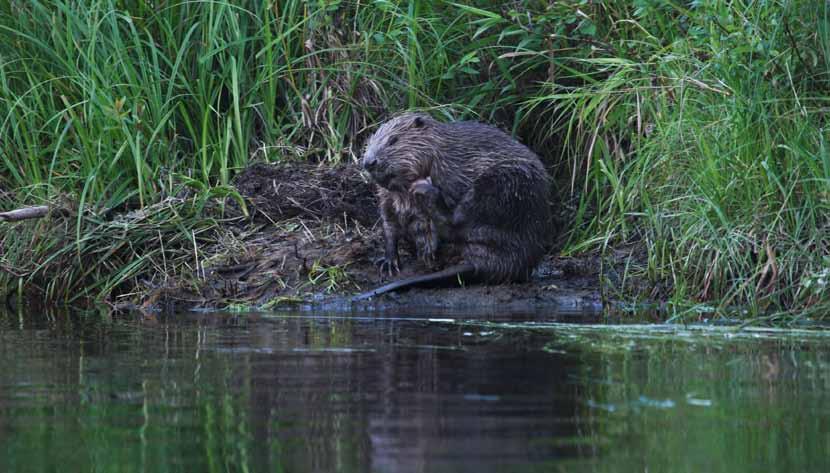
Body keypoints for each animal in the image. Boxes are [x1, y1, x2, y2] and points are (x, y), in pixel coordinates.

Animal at [354, 112, 548, 300]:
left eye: (393, 140)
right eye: (369, 141)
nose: (369, 162)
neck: (441, 155)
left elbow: (427, 223)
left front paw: (427, 251)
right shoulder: (386, 198)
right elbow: (389, 225)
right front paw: (388, 262)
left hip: (503, 184)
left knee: (457, 222)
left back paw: (424, 188)